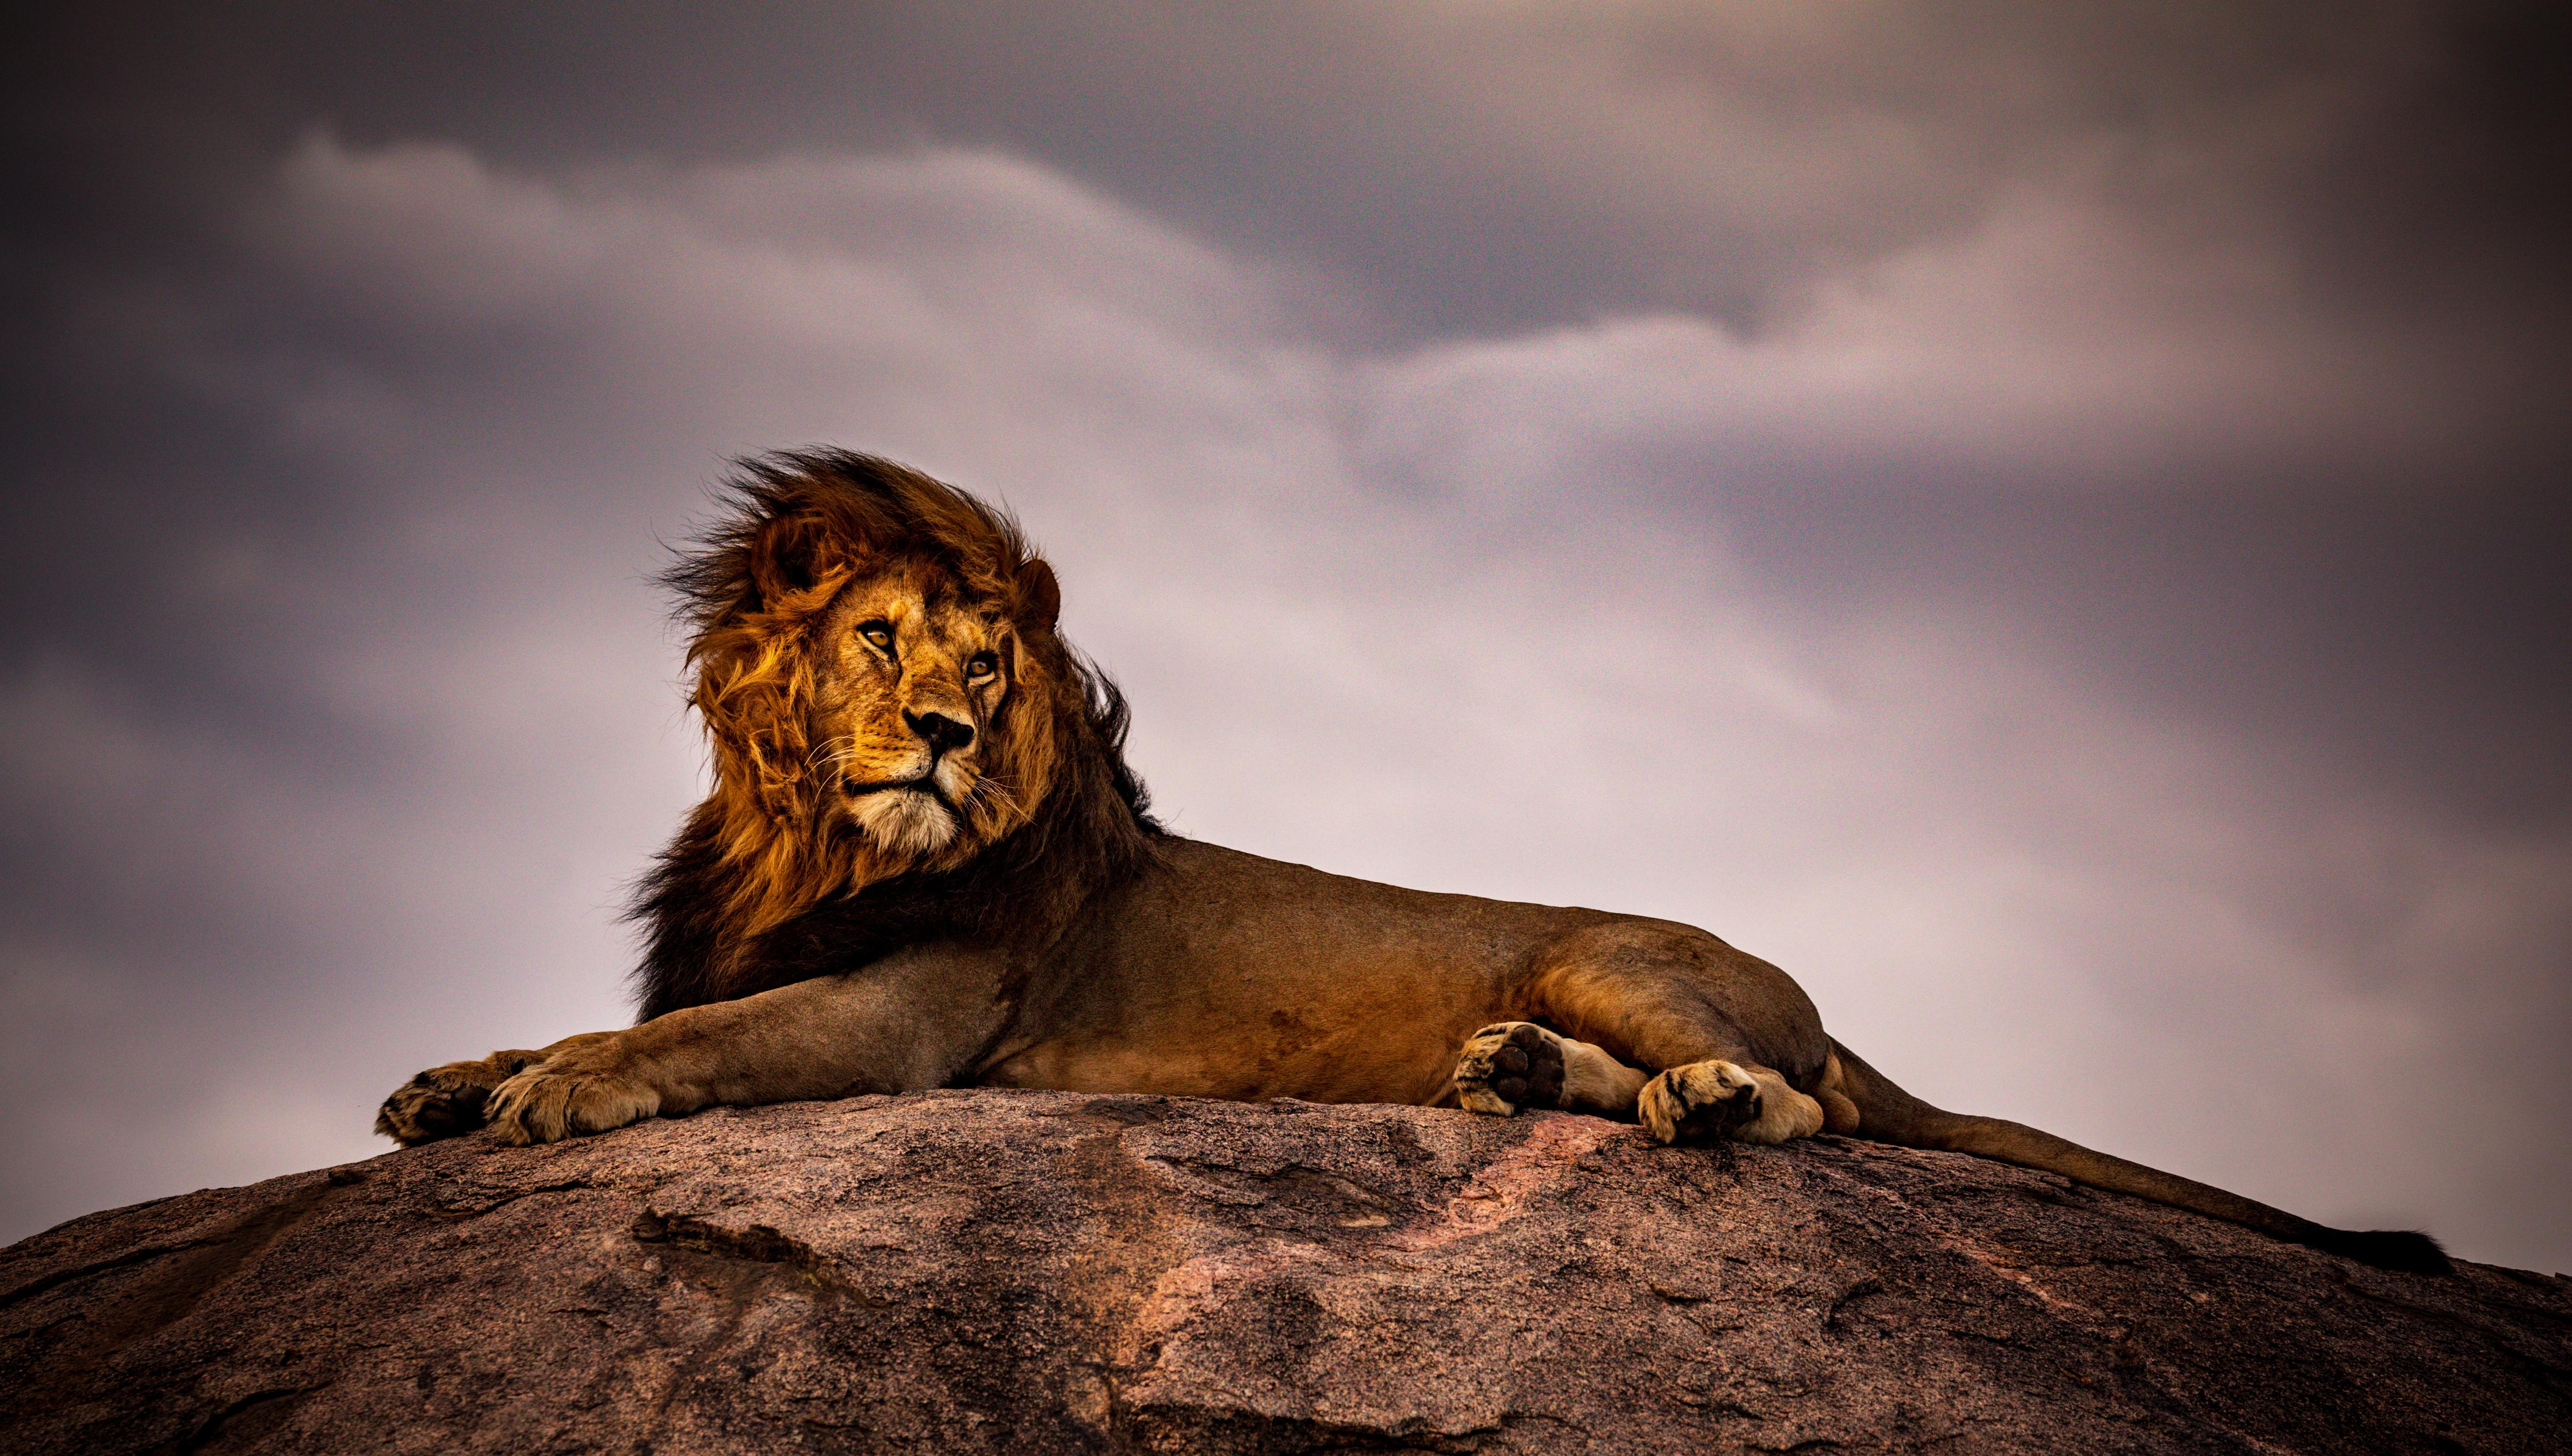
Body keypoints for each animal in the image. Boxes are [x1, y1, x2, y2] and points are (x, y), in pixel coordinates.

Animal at [375, 447, 2448, 1275]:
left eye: (995, 670)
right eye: (886, 643)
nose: (951, 740)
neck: (799, 838)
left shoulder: (918, 1018)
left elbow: (692, 1040)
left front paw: (561, 1090)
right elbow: (586, 1018)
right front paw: (449, 1080)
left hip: (1620, 950)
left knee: (1813, 1110)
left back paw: (1694, 1096)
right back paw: (1532, 1078)